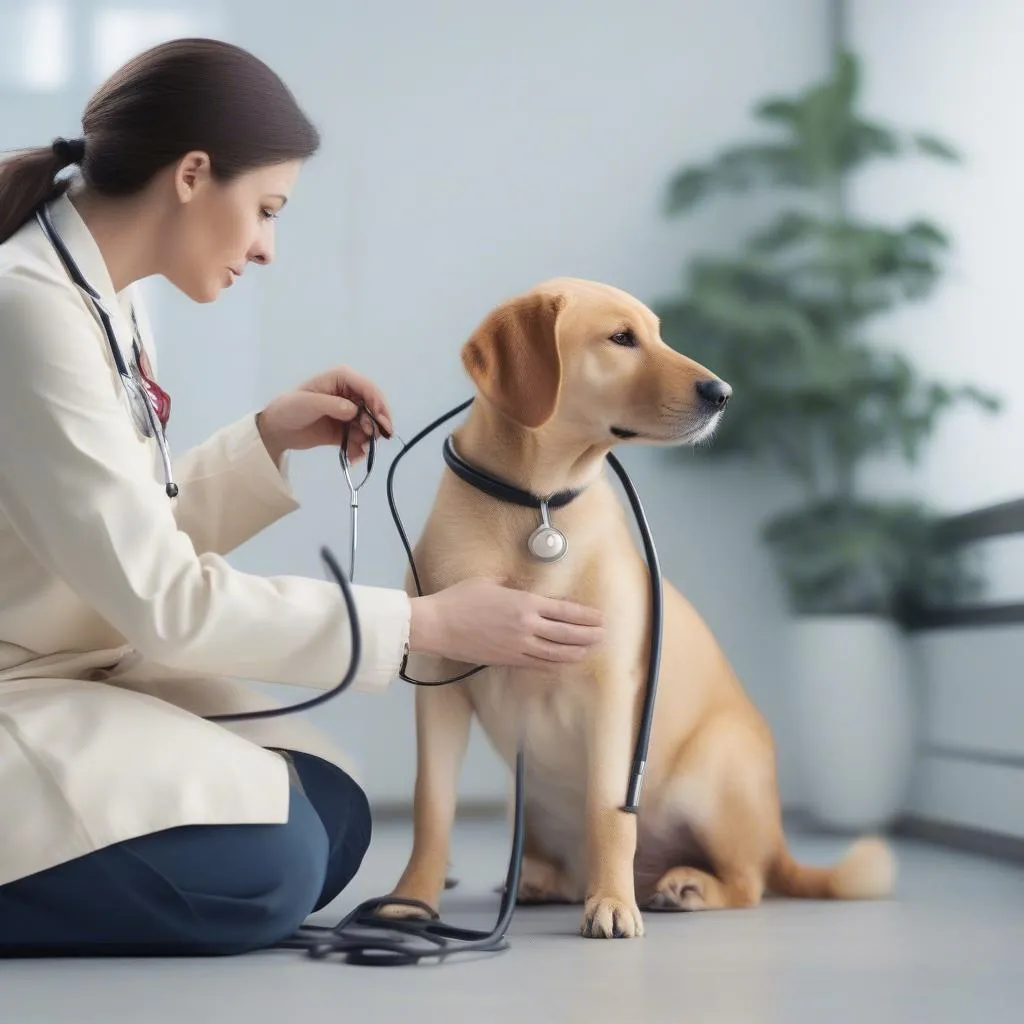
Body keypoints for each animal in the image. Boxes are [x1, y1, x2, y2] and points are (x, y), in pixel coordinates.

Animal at [387, 278, 892, 937]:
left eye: (658, 333)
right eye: (621, 338)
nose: (723, 393)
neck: (534, 503)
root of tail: (781, 843)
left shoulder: (611, 692)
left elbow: (608, 811)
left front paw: (611, 903)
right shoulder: (439, 681)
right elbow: (431, 806)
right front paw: (411, 898)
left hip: (713, 769)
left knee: (749, 883)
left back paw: (684, 886)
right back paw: (544, 881)